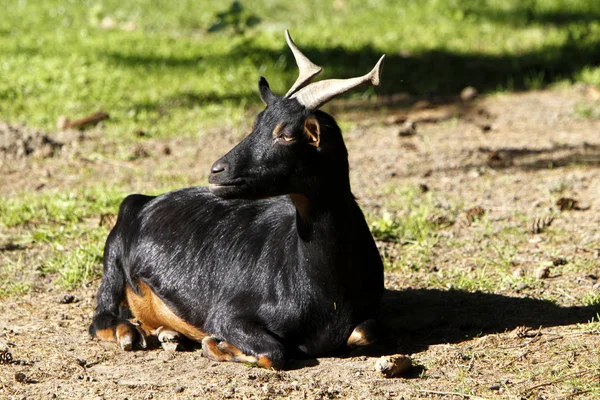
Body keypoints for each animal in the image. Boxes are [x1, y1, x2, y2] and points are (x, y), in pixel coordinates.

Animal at [89, 30, 384, 368]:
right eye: (257, 124)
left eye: (286, 134)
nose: (217, 170)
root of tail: (142, 200)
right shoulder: (227, 314)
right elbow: (274, 351)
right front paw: (218, 345)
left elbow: (365, 333)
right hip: (113, 259)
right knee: (100, 317)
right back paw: (128, 333)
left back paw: (169, 334)